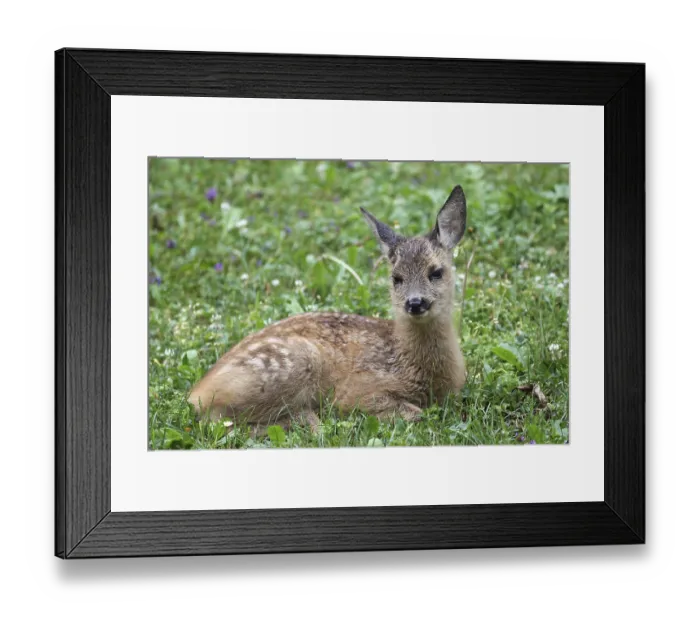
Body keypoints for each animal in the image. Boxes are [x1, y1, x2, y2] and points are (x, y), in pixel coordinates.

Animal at [188, 185, 468, 435]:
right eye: (396, 278)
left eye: (436, 272)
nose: (415, 303)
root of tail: (197, 392)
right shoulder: (358, 390)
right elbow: (413, 412)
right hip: (294, 363)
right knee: (222, 422)